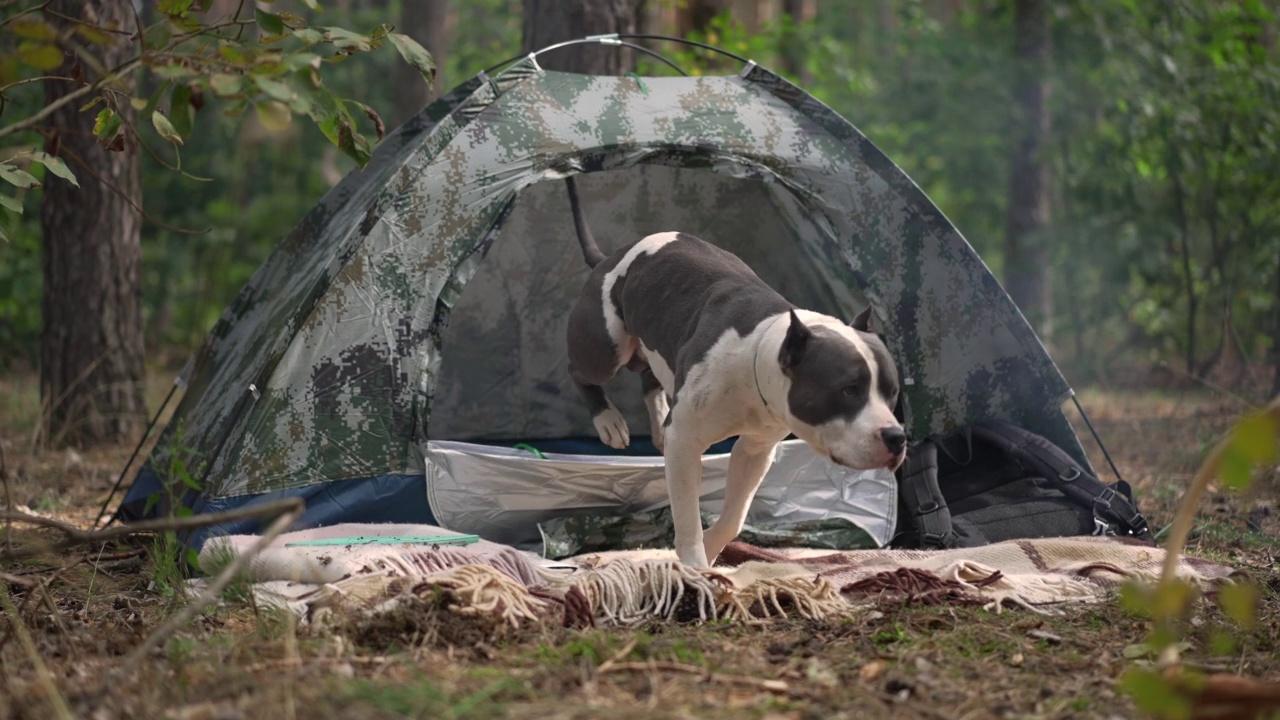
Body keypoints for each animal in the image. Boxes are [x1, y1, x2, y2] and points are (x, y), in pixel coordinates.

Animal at [565, 229, 906, 566]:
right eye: (849, 390)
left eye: (892, 393)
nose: (897, 437)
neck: (759, 349)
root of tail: (609, 257)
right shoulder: (686, 441)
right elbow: (688, 519)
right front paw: (696, 569)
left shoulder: (755, 449)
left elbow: (735, 518)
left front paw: (712, 548)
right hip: (606, 347)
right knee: (580, 372)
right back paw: (608, 420)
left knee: (649, 379)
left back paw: (659, 424)